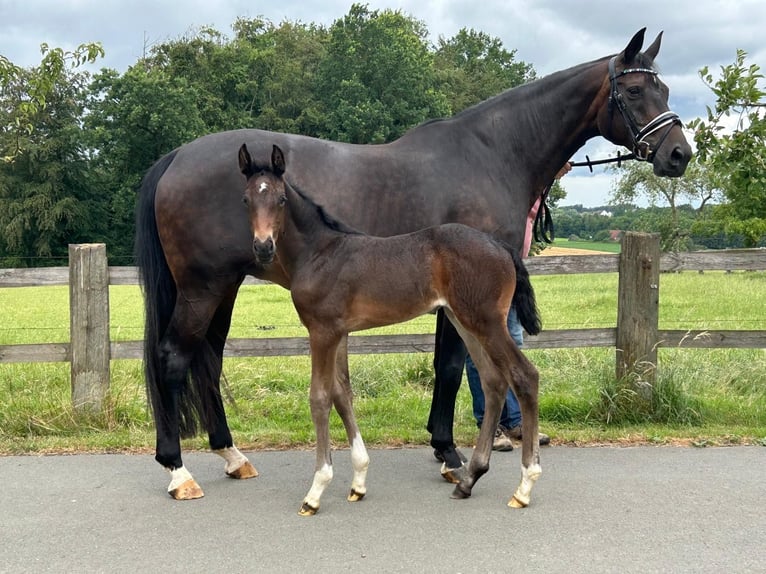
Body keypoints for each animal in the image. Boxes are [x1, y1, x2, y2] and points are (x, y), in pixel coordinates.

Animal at [238, 141, 543, 514]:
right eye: (246, 199)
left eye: (281, 199)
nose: (263, 247)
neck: (319, 252)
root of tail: (501, 246)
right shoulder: (339, 333)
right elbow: (342, 393)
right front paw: (358, 481)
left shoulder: (321, 332)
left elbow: (320, 397)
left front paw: (316, 490)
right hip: (464, 320)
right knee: (494, 382)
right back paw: (469, 478)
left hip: (486, 321)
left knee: (524, 376)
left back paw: (524, 486)